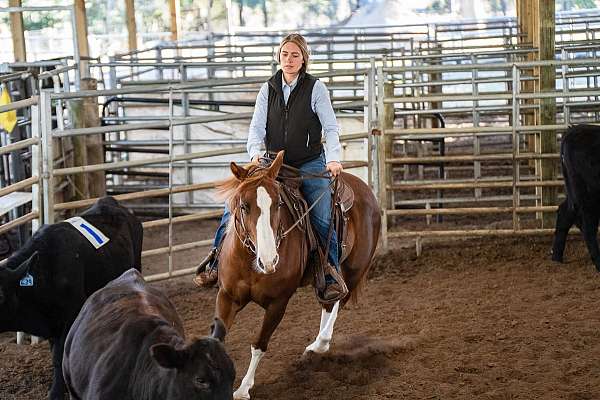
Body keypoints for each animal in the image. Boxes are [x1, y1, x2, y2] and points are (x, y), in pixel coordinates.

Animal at [216, 151, 380, 400]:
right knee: (328, 304)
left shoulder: (278, 303)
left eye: (278, 204)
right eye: (243, 206)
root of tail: (366, 190)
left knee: (339, 299)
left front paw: (243, 389)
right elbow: (216, 338)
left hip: (355, 269)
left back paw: (319, 345)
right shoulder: (227, 296)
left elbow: (259, 344)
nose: (269, 260)